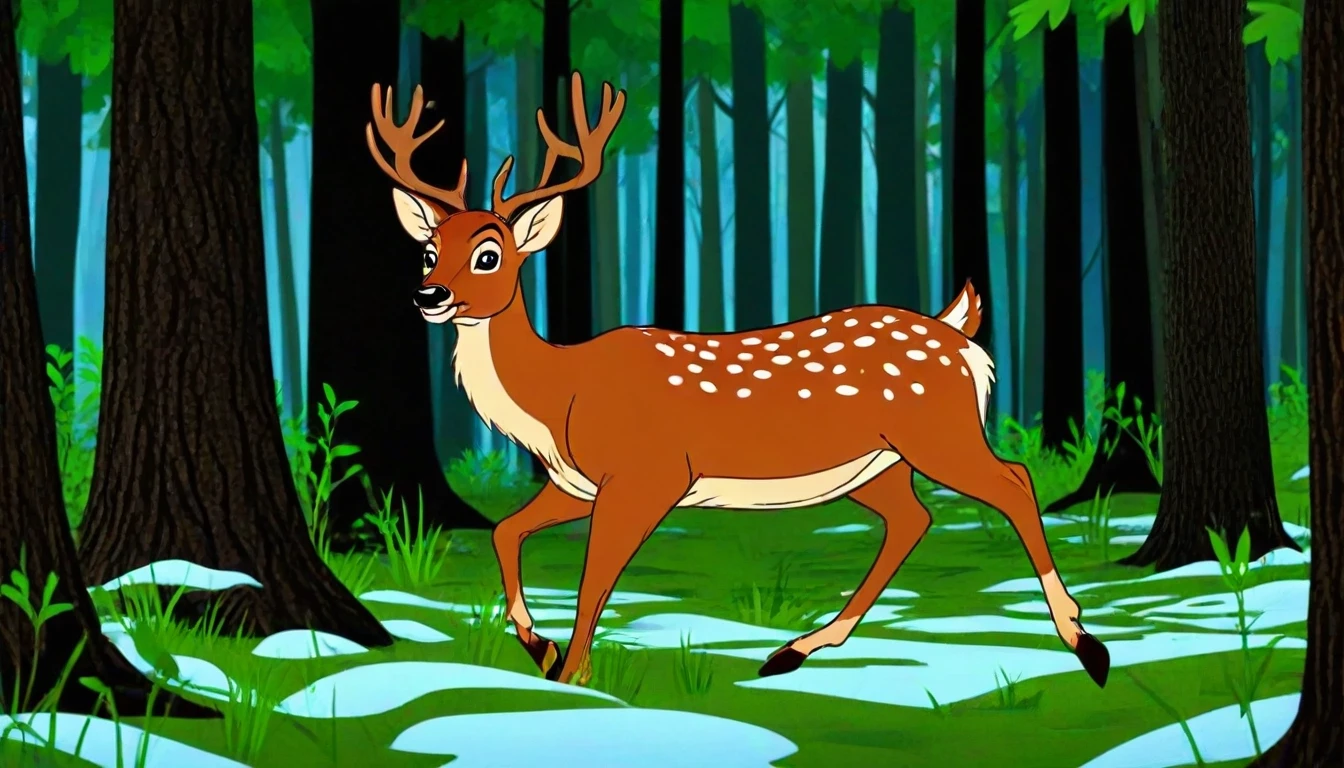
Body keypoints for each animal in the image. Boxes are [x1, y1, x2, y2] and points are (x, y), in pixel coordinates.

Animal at [365, 71, 1111, 690]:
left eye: (490, 254)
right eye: (429, 249)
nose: (428, 295)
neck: (559, 397)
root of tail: (961, 335)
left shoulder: (649, 473)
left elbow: (594, 578)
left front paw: (569, 675)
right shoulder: (576, 483)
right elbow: (505, 532)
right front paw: (537, 646)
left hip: (939, 430)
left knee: (1014, 481)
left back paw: (1085, 642)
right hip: (877, 464)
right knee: (915, 518)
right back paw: (794, 650)